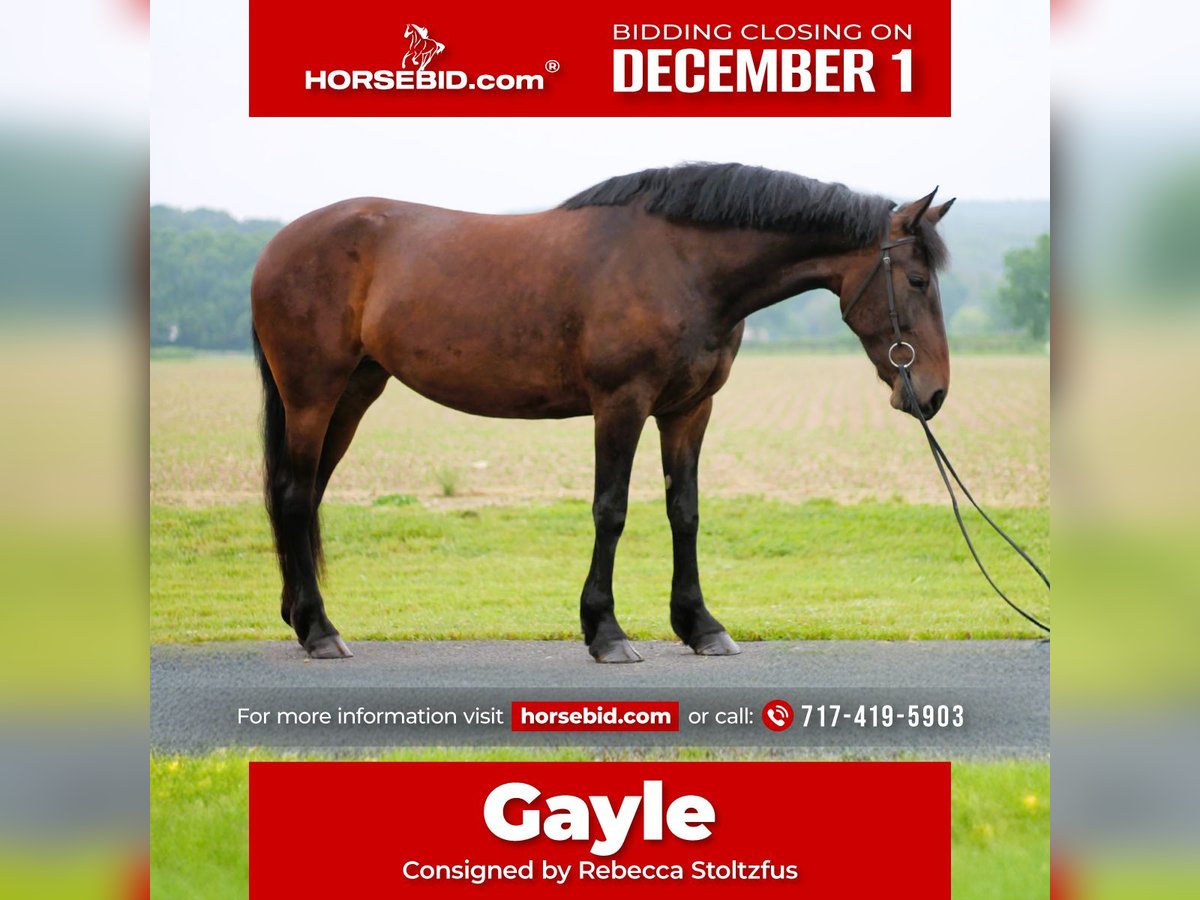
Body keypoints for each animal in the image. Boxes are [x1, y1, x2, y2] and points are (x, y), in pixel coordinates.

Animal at [250, 163, 955, 662]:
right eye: (917, 281)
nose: (933, 393)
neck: (682, 265)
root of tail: (278, 245)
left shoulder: (688, 410)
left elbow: (684, 511)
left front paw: (701, 626)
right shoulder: (621, 404)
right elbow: (610, 510)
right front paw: (606, 631)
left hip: (354, 392)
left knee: (308, 494)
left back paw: (301, 618)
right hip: (312, 394)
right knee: (293, 493)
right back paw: (320, 631)